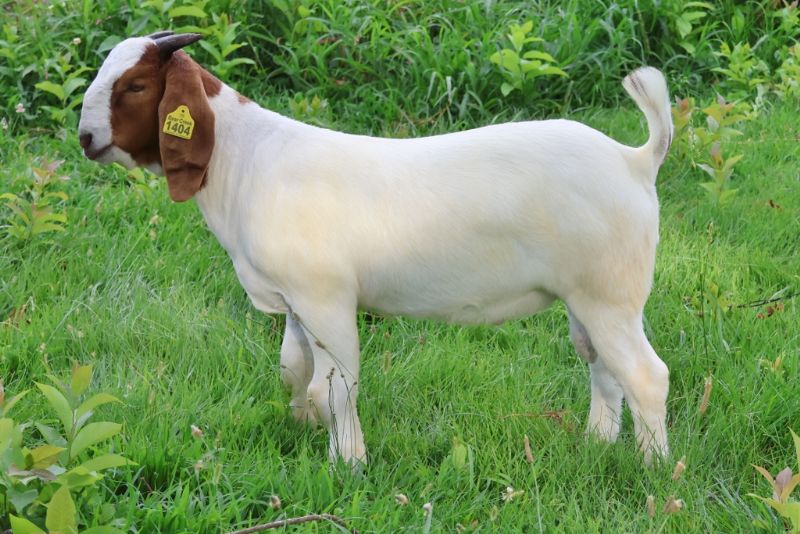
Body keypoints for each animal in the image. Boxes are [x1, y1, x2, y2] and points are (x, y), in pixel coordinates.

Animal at [78, 32, 673, 466]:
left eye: (135, 85)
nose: (85, 138)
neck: (247, 161)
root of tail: (635, 159)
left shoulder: (326, 300)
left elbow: (336, 389)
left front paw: (348, 463)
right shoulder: (295, 302)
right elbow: (294, 370)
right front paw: (303, 429)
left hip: (610, 293)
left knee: (646, 374)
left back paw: (653, 469)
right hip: (586, 297)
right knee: (603, 367)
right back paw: (597, 444)